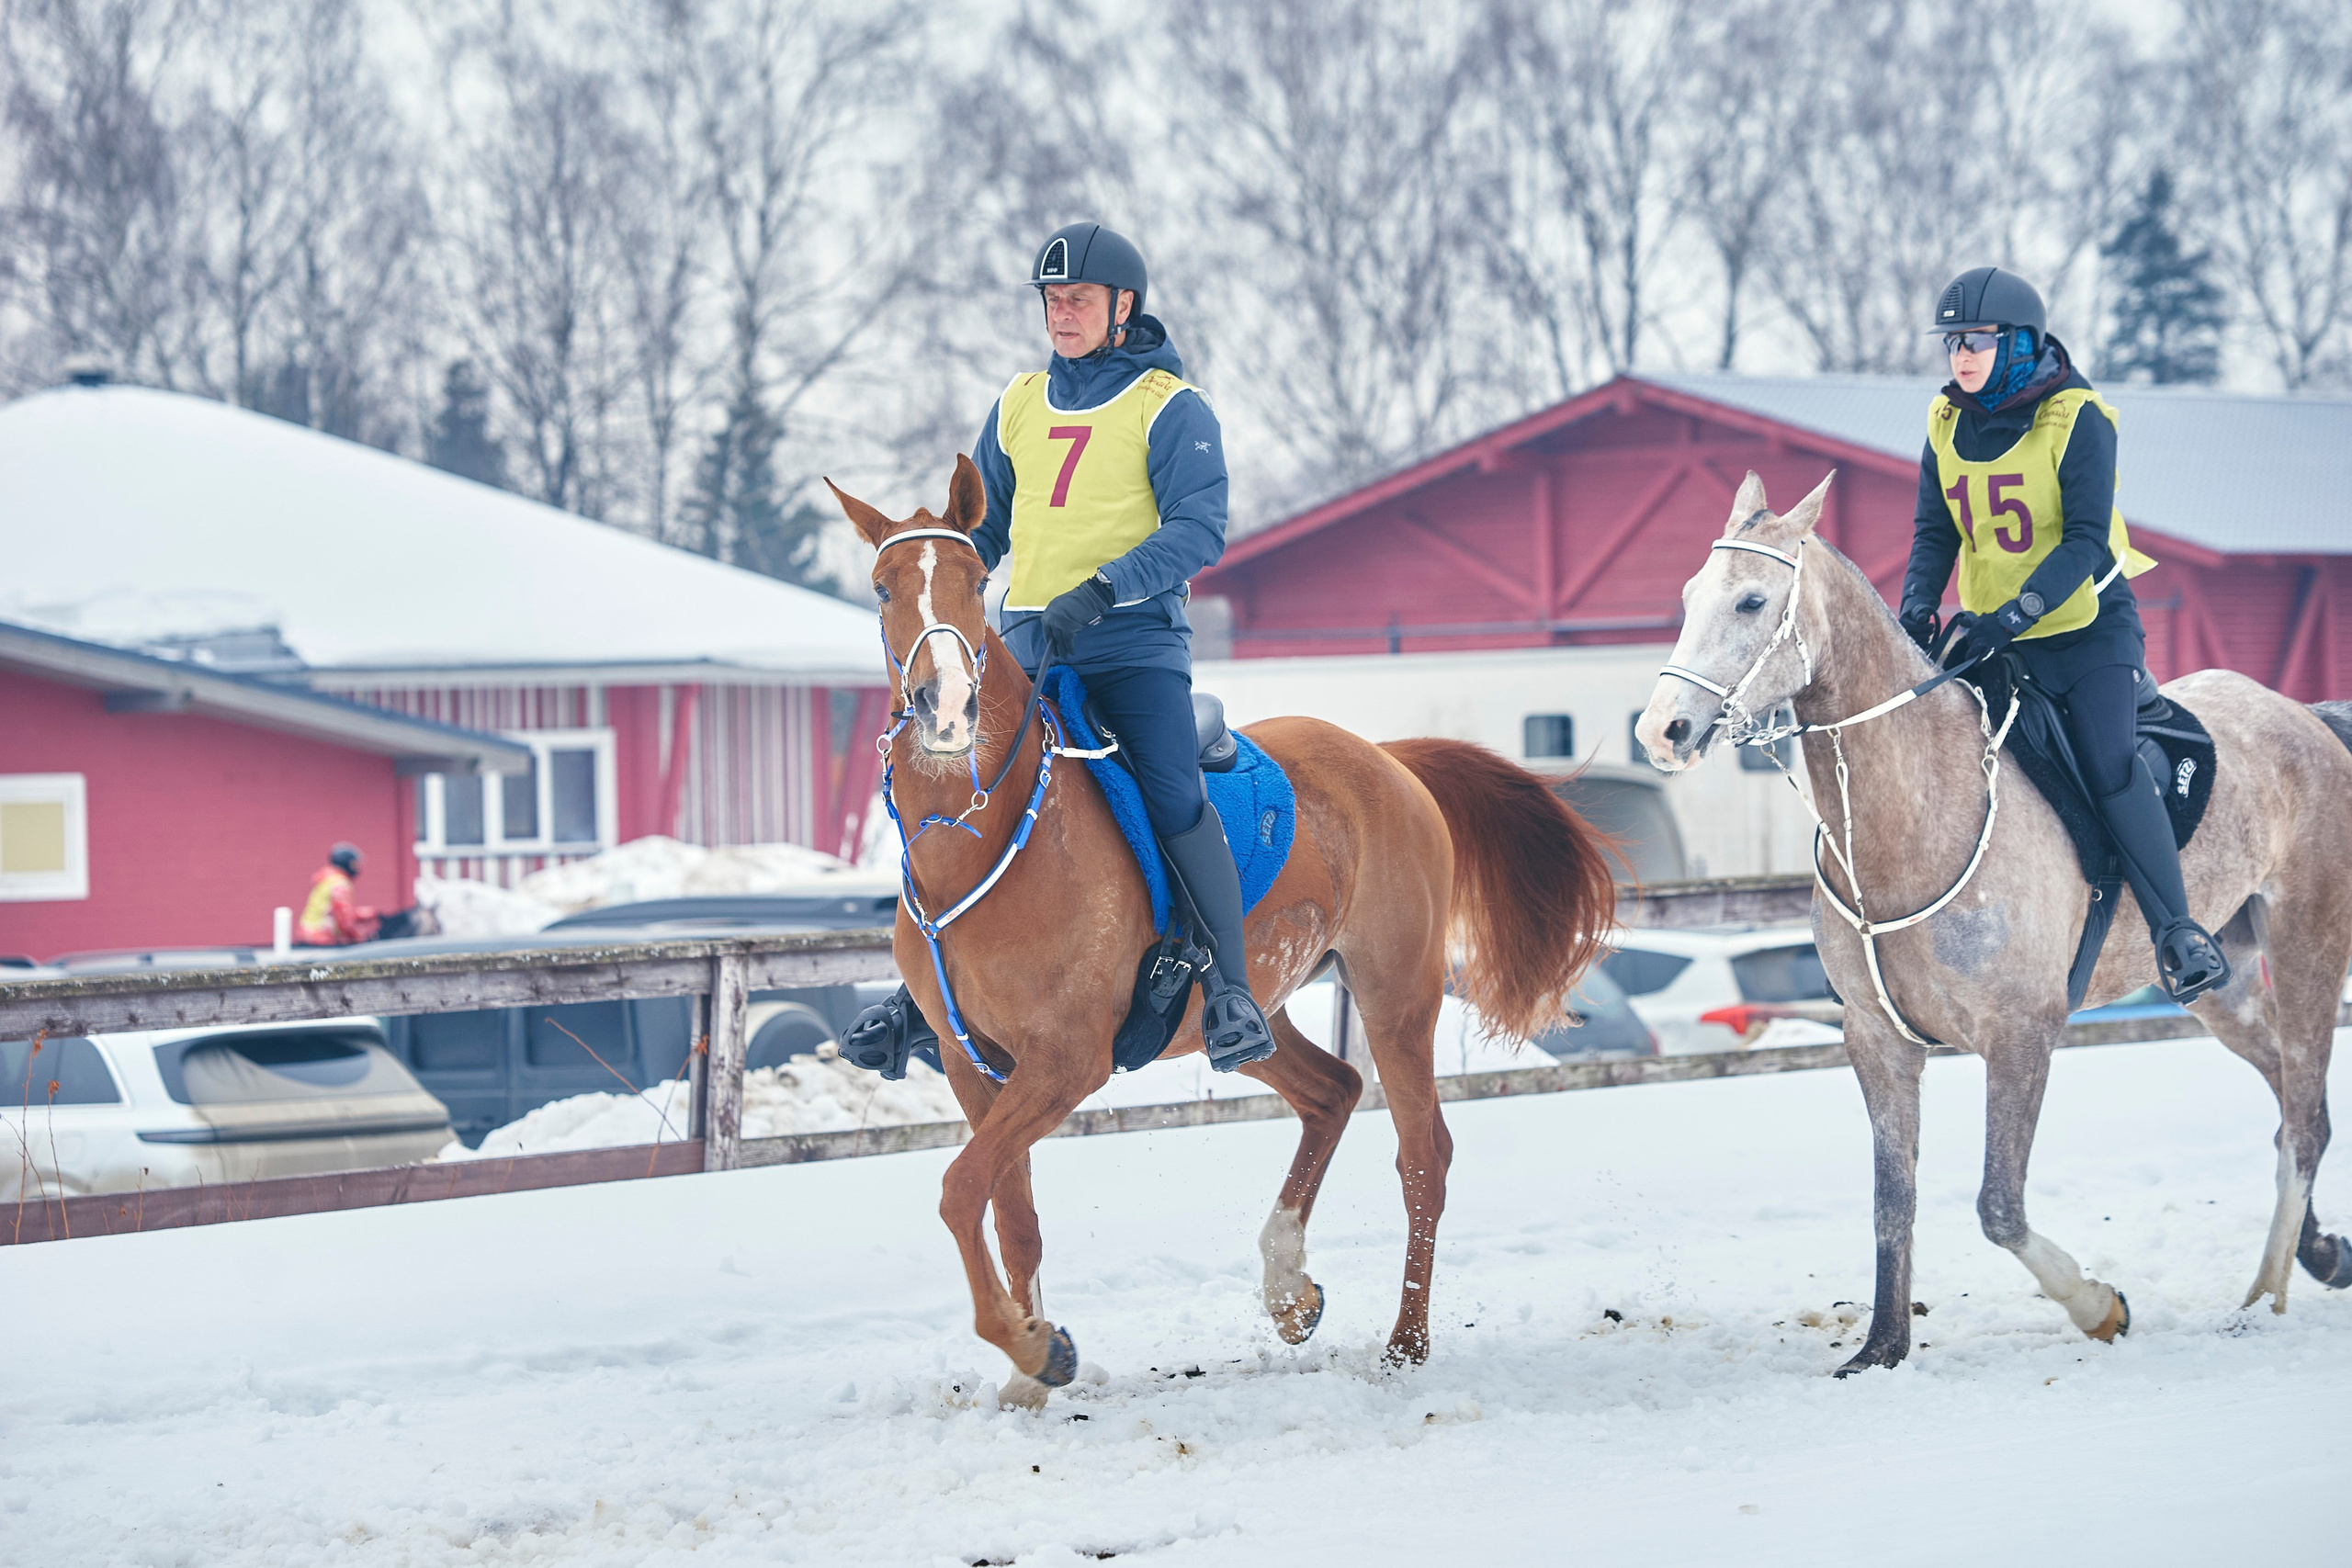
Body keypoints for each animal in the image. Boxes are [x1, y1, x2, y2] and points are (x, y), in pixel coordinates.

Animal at [828, 456, 1618, 1407]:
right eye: (881, 589)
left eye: (978, 582)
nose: (945, 708)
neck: (984, 837)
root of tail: (1388, 757)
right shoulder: (971, 1062)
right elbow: (1007, 1211)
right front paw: (1035, 1364)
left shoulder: (1067, 1060)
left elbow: (956, 1188)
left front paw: (1030, 1348)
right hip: (1244, 1012)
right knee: (1332, 1093)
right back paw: (1288, 1287)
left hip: (1395, 993)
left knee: (1423, 1152)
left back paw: (1404, 1343)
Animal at [1635, 470, 2352, 1375]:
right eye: (1690, 595)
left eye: (1752, 600)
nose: (1661, 730)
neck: (1913, 815)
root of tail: (2307, 717)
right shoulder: (1878, 1041)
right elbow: (1893, 1198)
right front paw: (1881, 1347)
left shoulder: (2020, 1036)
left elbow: (1998, 1206)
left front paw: (2099, 1306)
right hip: (2220, 986)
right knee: (2288, 1094)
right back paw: (2319, 1254)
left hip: (2307, 950)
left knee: (2307, 1123)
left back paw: (2261, 1300)